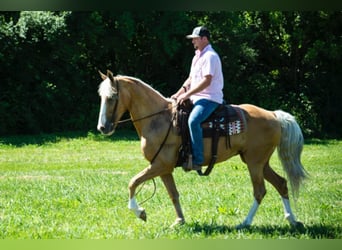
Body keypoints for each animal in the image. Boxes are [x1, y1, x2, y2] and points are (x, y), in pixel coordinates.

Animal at [96, 70, 308, 229]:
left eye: (112, 97)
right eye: (101, 97)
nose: (102, 127)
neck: (159, 119)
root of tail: (273, 115)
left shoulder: (160, 165)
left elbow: (132, 182)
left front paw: (140, 212)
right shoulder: (163, 168)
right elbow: (173, 194)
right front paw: (179, 221)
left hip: (255, 163)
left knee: (260, 191)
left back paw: (245, 222)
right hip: (259, 162)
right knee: (281, 184)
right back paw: (292, 219)